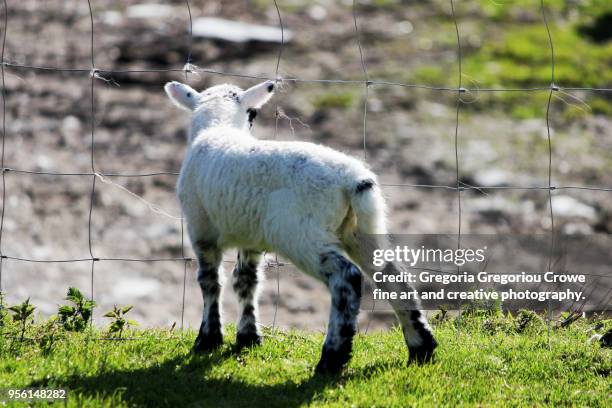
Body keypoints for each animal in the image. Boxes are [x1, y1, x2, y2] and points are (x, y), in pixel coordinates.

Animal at [165, 78, 438, 374]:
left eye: (252, 114)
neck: (217, 126)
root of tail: (354, 179)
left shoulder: (200, 229)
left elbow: (210, 282)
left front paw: (208, 338)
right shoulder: (250, 237)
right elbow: (246, 281)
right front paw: (248, 337)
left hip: (302, 234)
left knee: (347, 278)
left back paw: (332, 357)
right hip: (361, 231)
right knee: (392, 275)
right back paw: (421, 348)